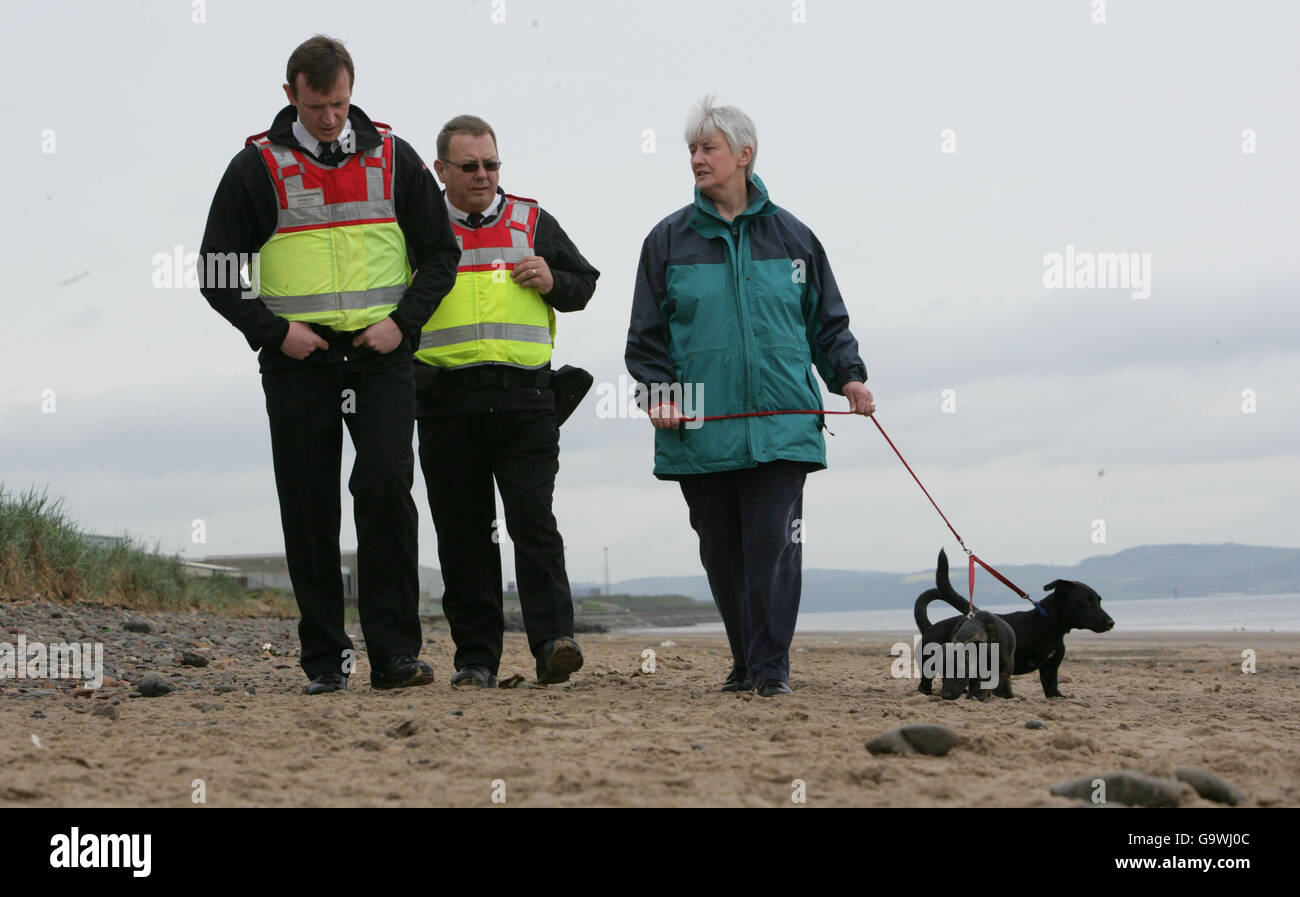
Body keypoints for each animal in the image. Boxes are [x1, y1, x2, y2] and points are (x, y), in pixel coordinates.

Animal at [915, 546, 1118, 696]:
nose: (1111, 622)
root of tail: (930, 626)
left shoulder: (1050, 669)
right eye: (1086, 601)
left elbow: (1053, 691)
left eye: (1098, 600)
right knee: (925, 684)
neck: (1048, 625)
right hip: (929, 665)